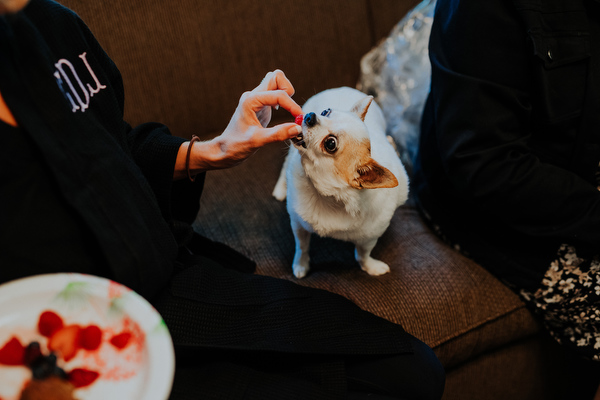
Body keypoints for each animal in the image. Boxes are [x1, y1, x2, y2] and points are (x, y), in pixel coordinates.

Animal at [272, 86, 408, 276]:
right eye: (325, 112)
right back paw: (280, 189)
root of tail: (345, 88)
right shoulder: (299, 224)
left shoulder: (370, 238)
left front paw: (370, 267)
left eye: (331, 144)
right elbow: (302, 247)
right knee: (286, 164)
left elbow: (363, 254)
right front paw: (301, 265)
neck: (327, 197)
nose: (311, 116)